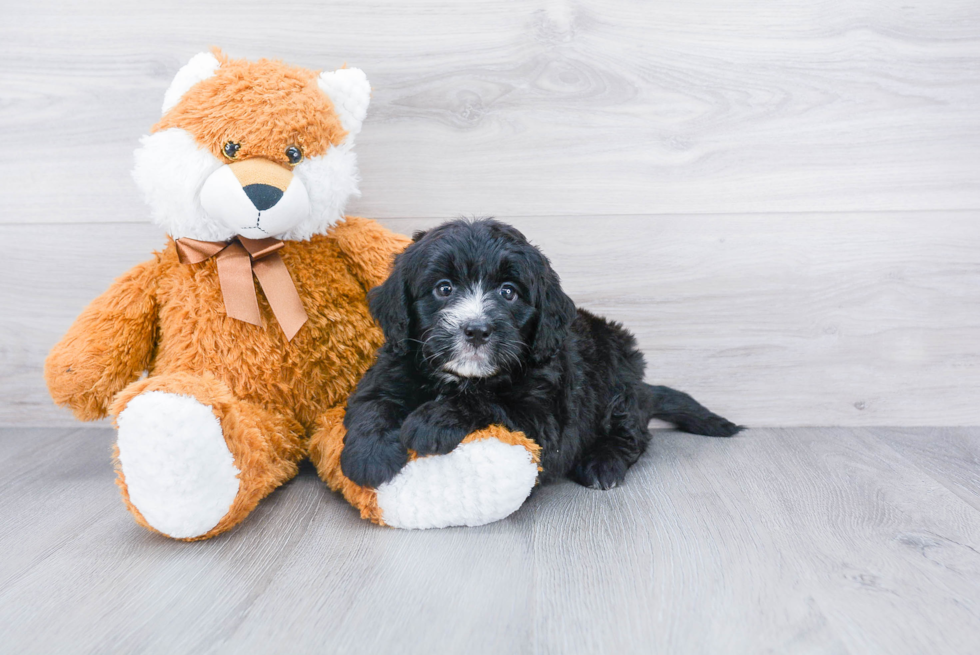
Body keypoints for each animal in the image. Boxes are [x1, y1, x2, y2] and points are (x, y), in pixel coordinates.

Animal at [340, 218, 740, 490]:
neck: (464, 377)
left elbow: (487, 401)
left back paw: (604, 463)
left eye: (508, 292)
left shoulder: (545, 418)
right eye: (443, 288)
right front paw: (368, 457)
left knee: (633, 434)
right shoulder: (392, 367)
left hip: (619, 375)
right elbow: (374, 403)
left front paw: (431, 422)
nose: (476, 330)